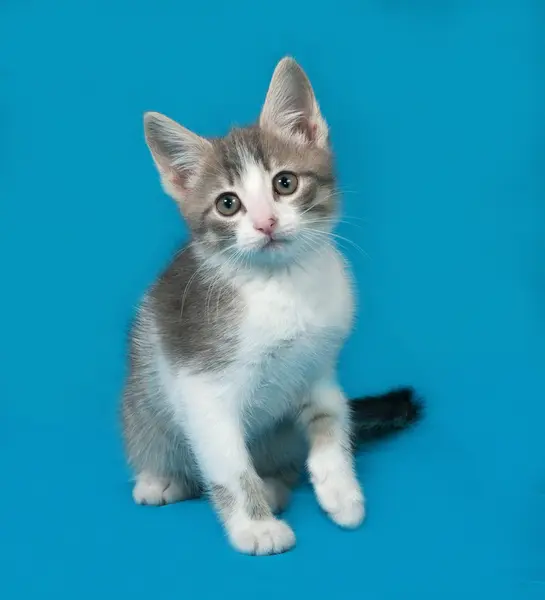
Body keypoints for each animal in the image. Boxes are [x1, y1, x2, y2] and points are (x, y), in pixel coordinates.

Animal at [123, 58, 420, 556]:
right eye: (228, 204)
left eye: (286, 183)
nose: (265, 223)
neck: (282, 286)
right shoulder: (202, 388)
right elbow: (229, 466)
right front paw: (256, 527)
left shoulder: (319, 368)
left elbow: (331, 420)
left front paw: (340, 489)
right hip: (144, 403)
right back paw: (162, 480)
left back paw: (277, 483)